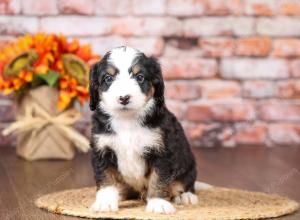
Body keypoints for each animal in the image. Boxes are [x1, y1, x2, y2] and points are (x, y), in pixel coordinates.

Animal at [88, 46, 198, 213]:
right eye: (108, 78)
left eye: (140, 77)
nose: (124, 98)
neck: (127, 120)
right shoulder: (102, 149)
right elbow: (106, 178)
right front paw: (105, 202)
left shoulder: (162, 151)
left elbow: (159, 179)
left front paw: (158, 203)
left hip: (188, 166)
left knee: (184, 183)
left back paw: (186, 196)